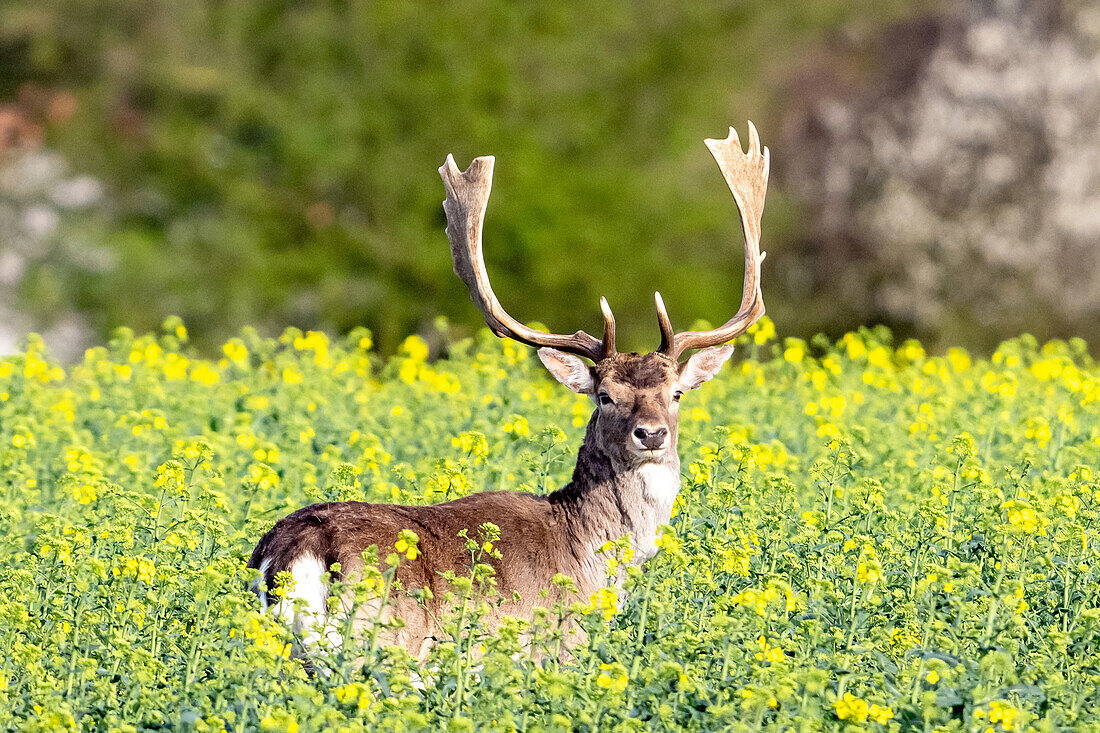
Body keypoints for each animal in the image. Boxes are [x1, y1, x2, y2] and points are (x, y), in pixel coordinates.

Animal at [249, 121, 770, 655]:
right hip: (381, 642)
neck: (593, 558)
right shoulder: (554, 646)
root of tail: (291, 554)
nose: (651, 433)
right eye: (605, 395)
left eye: (676, 393)